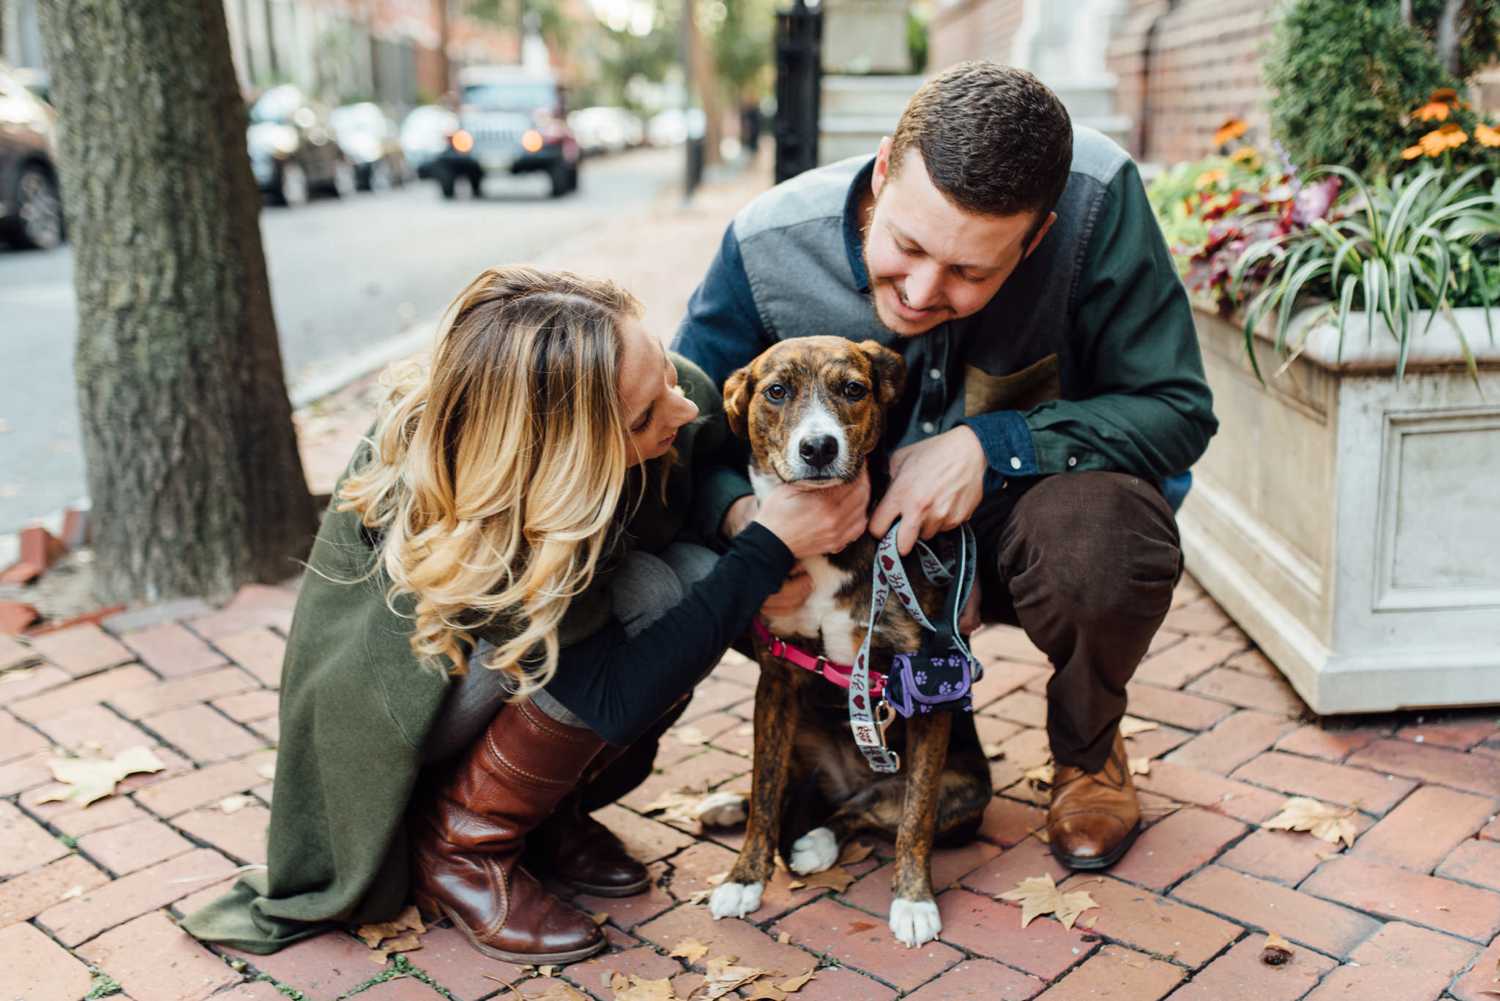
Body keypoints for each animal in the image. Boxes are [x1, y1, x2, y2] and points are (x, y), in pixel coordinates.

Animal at [705, 336, 990, 948]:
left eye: (854, 389)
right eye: (776, 391)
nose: (818, 447)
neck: (826, 546)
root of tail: (845, 780)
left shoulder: (928, 686)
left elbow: (915, 819)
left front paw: (914, 901)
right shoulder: (777, 678)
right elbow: (765, 794)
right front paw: (743, 879)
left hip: (966, 792)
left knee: (866, 811)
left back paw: (816, 841)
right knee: (783, 789)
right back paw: (733, 807)